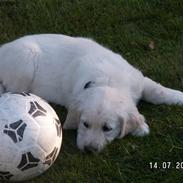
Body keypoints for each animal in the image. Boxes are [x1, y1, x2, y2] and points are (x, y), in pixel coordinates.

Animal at [0, 34, 183, 152]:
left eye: (107, 128)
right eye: (85, 124)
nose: (89, 149)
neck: (108, 80)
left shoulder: (138, 81)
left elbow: (157, 90)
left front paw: (177, 96)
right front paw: (141, 127)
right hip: (26, 59)